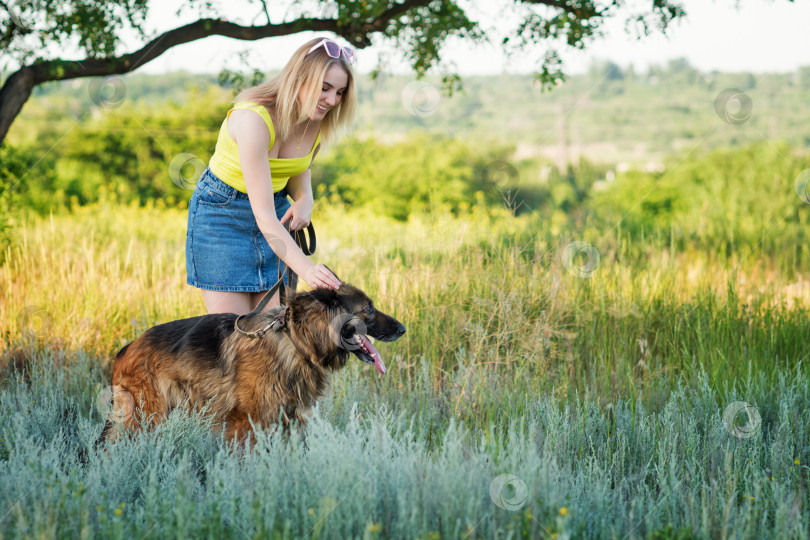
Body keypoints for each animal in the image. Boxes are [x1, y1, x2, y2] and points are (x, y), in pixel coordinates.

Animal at [98, 284, 408, 446]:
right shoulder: (246, 424)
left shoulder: (284, 420)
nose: (403, 329)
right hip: (144, 419)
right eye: (368, 309)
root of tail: (129, 346)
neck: (296, 341)